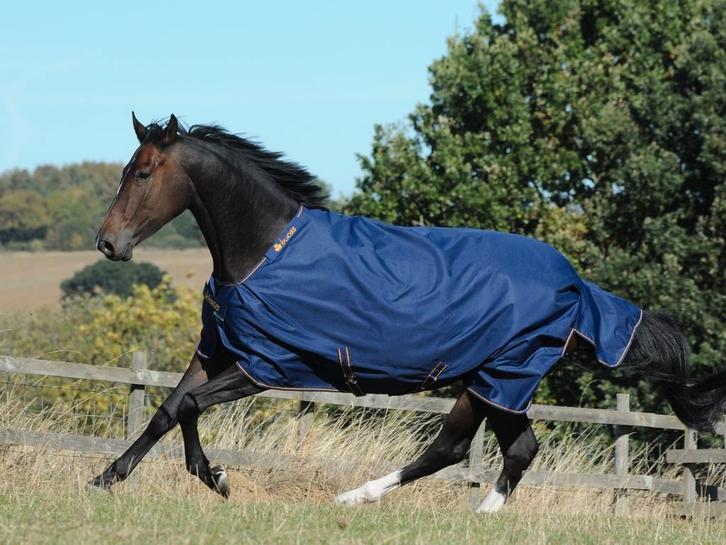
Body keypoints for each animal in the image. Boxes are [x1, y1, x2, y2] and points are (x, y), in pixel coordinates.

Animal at [90, 113, 726, 512]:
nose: (107, 244)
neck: (265, 248)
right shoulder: (217, 349)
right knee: (482, 449)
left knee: (483, 449)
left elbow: (189, 407)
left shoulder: (264, 365)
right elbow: (165, 411)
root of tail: (576, 288)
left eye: (142, 172)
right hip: (490, 380)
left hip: (504, 376)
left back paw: (410, 506)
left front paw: (218, 478)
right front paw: (105, 479)